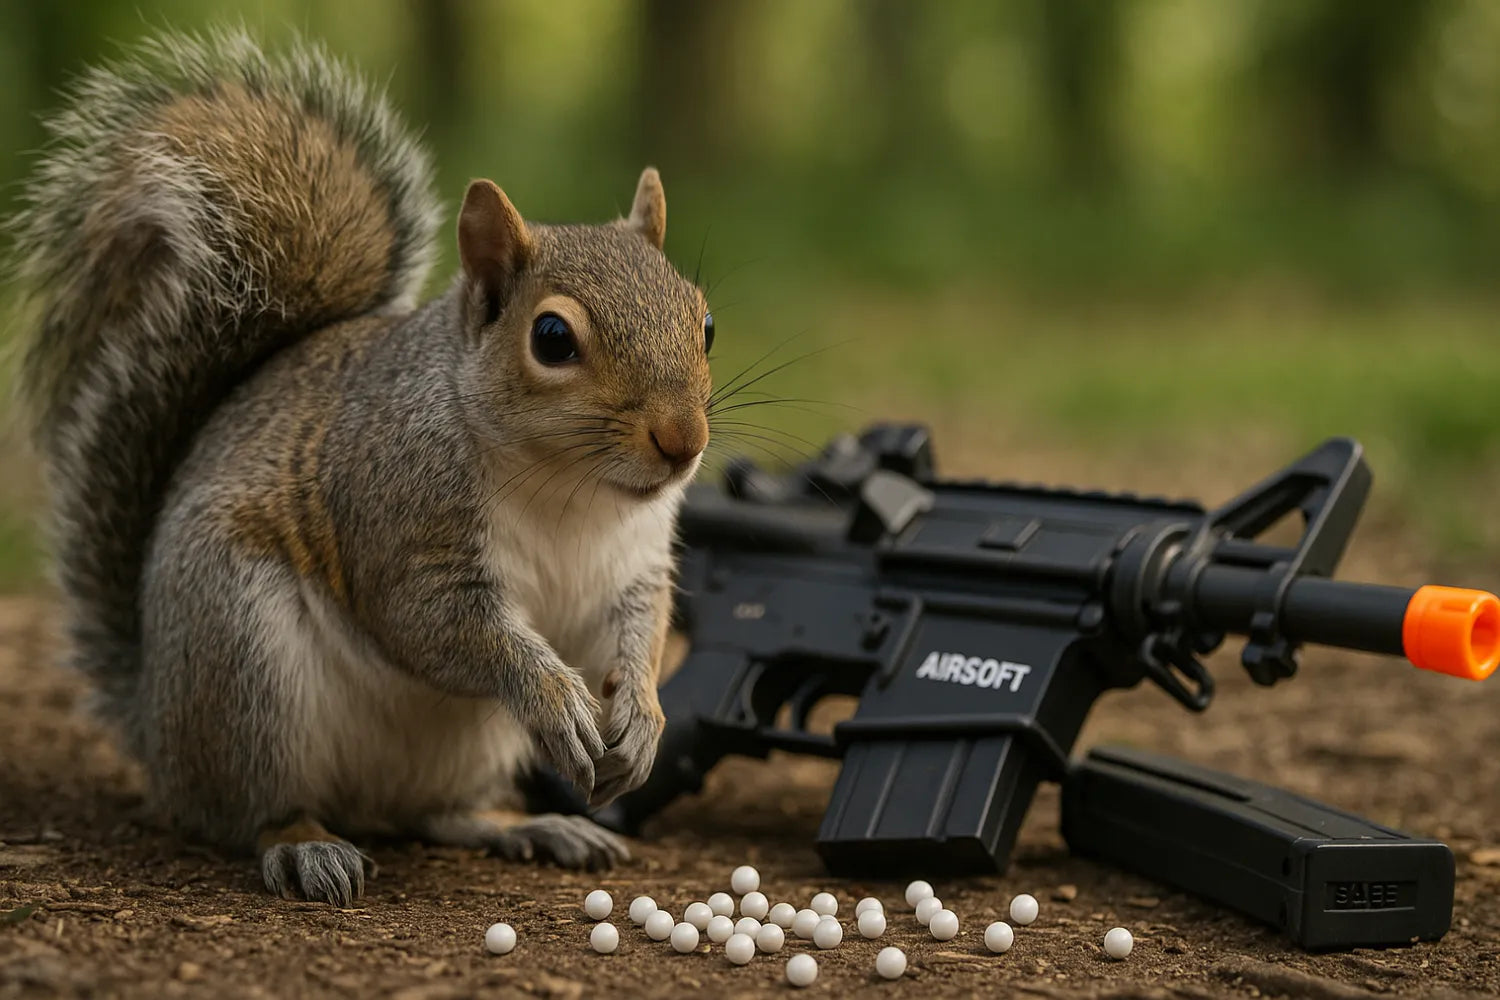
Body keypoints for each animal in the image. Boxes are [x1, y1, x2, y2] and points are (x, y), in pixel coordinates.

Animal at [8, 28, 714, 906]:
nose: (684, 440)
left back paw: (529, 825)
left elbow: (640, 630)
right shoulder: (399, 516)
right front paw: (553, 694)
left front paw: (642, 718)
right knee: (251, 810)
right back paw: (306, 845)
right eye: (552, 339)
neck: (574, 491)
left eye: (706, 322)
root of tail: (157, 726)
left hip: (469, 745)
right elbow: (439, 625)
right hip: (243, 658)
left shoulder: (633, 564)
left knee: (428, 814)